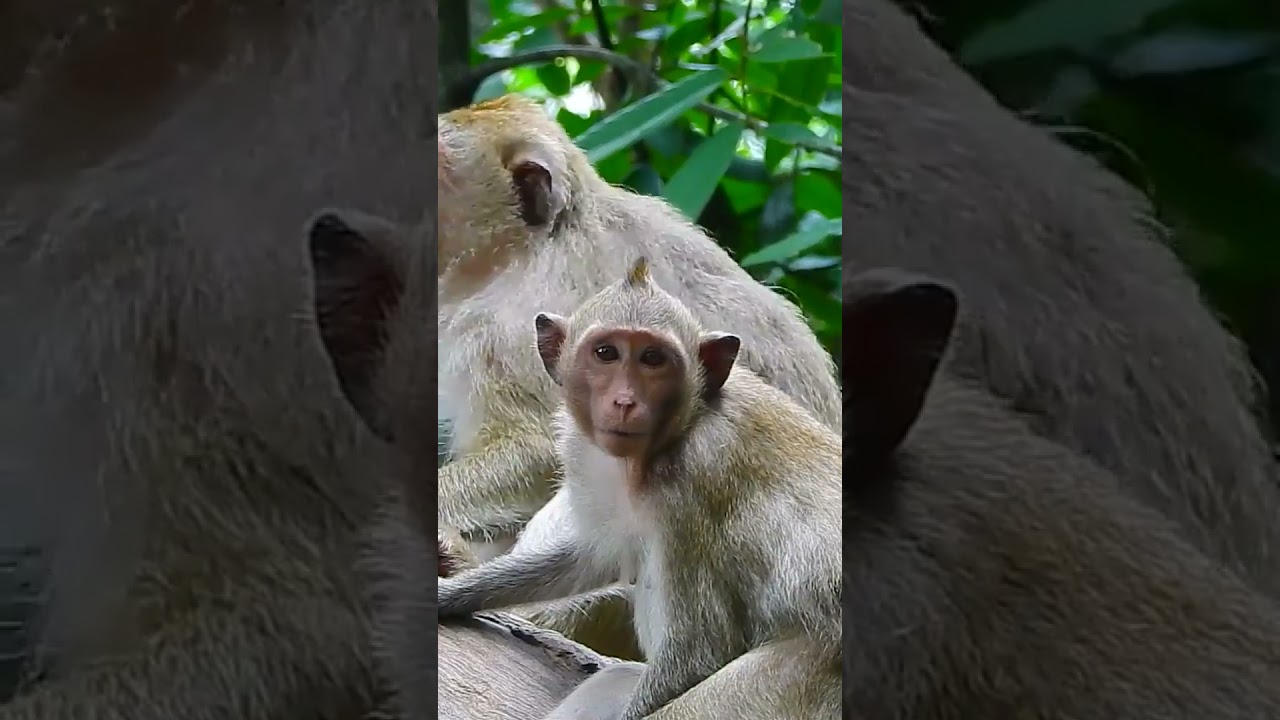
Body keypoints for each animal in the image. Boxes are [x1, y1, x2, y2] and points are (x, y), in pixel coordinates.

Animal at [438, 258, 842, 720]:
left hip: (801, 676)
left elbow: (698, 652)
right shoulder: (582, 451)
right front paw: (450, 590)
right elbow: (591, 557)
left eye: (653, 359)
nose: (625, 401)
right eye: (606, 353)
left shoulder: (694, 477)